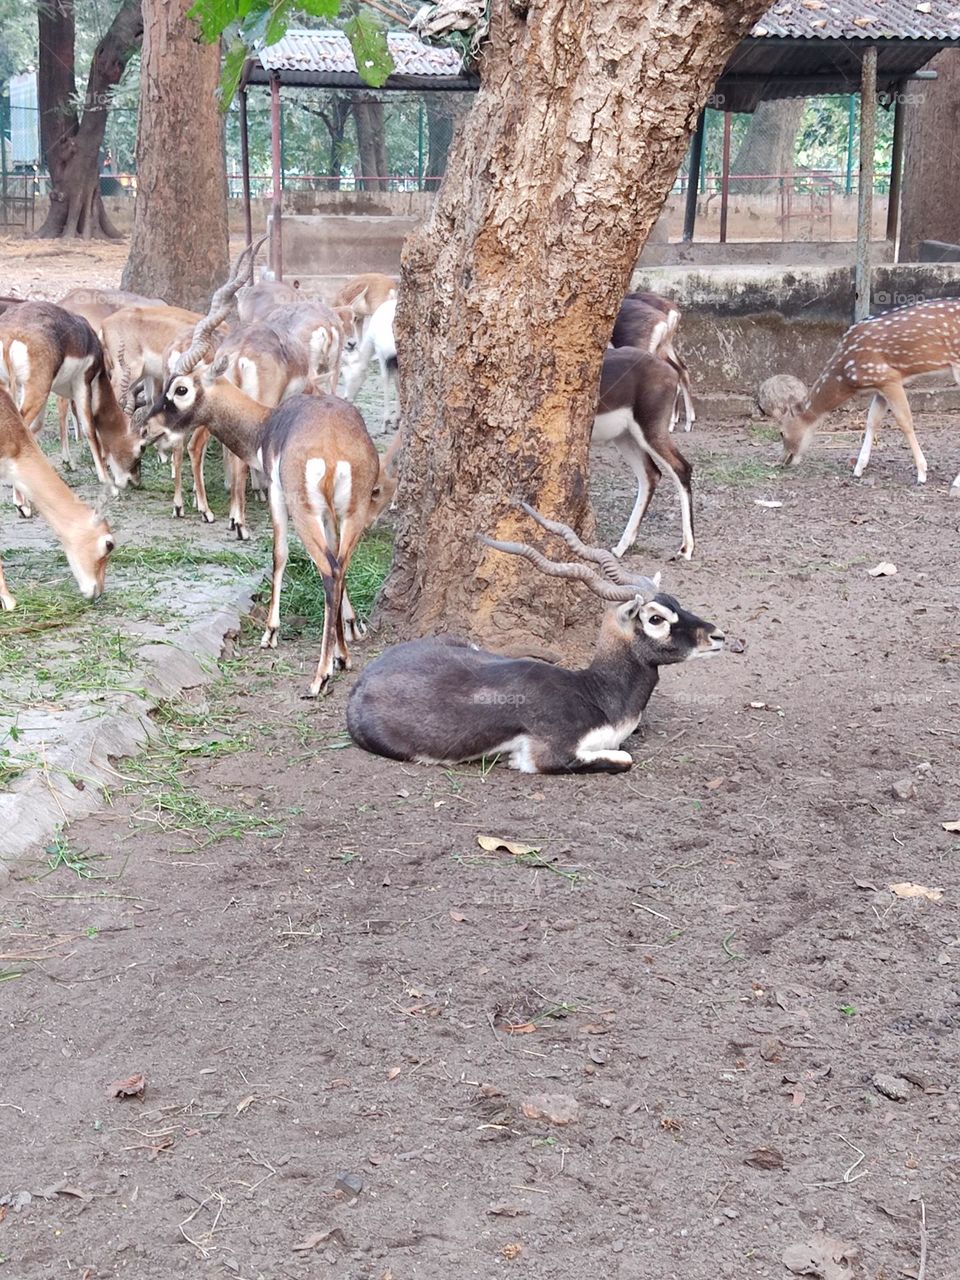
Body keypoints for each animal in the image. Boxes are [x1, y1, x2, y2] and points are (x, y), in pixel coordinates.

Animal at [0, 301, 142, 507]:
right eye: (141, 446)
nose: (136, 481)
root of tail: (9, 334)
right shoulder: (83, 382)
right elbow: (90, 428)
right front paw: (108, 483)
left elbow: (38, 427)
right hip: (37, 391)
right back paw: (21, 504)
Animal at [347, 504, 723, 774]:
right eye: (656, 618)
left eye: (677, 603)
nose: (718, 635)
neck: (598, 694)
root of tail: (362, 682)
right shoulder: (550, 753)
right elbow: (623, 759)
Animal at [593, 347, 695, 560]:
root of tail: (671, 371)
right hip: (625, 437)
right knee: (651, 474)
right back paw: (621, 547)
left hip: (650, 432)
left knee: (681, 468)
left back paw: (686, 548)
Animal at [777, 298, 960, 493]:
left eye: (781, 432)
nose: (783, 460)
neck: (846, 374)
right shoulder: (879, 386)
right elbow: (872, 420)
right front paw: (858, 469)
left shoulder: (887, 377)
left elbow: (905, 421)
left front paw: (922, 474)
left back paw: (955, 482)